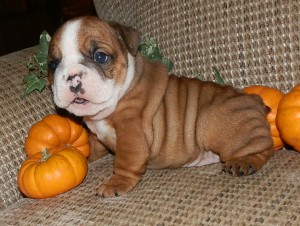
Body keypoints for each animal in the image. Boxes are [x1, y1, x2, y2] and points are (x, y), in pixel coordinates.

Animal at [48, 15, 276, 197]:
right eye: (53, 64)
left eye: (100, 56)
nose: (72, 76)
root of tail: (254, 101)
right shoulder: (97, 136)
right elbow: (93, 146)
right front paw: (85, 156)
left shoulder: (131, 131)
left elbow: (125, 161)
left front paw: (116, 182)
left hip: (214, 124)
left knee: (265, 147)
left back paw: (245, 162)